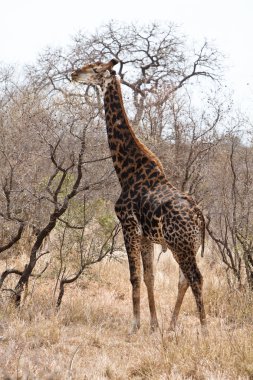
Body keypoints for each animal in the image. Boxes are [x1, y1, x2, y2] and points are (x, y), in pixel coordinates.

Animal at [71, 58, 208, 332]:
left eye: (95, 68)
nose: (74, 73)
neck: (126, 170)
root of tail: (199, 217)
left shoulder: (128, 225)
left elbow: (134, 277)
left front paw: (134, 325)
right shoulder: (146, 236)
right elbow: (149, 277)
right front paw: (153, 324)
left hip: (181, 245)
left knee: (196, 278)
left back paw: (204, 329)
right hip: (186, 245)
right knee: (184, 279)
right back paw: (171, 326)